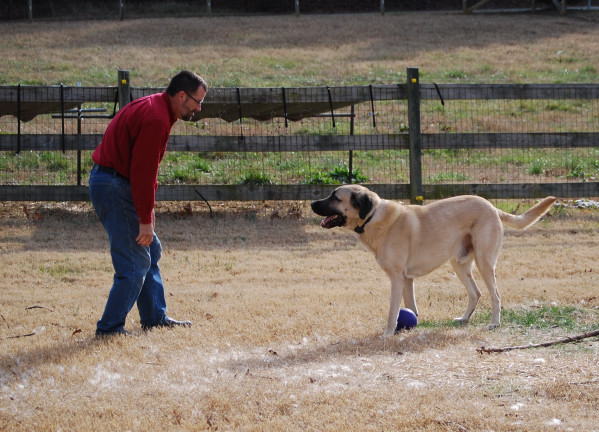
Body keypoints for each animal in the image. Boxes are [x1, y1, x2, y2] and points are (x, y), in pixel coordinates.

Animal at [312, 185, 556, 338]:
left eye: (335, 197)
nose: (313, 203)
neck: (372, 217)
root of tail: (491, 206)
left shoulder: (397, 279)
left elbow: (392, 312)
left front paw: (387, 334)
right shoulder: (407, 280)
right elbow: (411, 308)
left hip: (484, 262)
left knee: (495, 295)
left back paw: (495, 323)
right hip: (459, 264)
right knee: (475, 293)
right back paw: (464, 318)